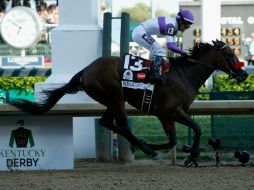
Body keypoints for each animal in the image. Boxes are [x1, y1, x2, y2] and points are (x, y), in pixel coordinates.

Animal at [9, 40, 248, 166]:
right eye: (229, 53)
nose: (245, 74)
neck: (184, 75)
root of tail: (86, 69)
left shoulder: (165, 115)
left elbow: (172, 140)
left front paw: (180, 152)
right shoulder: (172, 111)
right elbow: (197, 128)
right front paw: (190, 156)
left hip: (111, 100)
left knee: (107, 122)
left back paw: (142, 145)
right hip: (115, 96)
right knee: (122, 125)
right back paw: (145, 148)